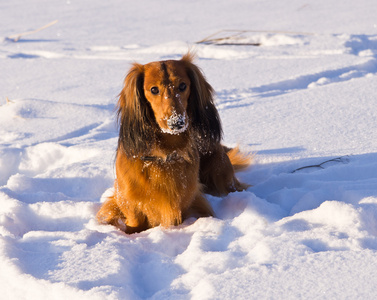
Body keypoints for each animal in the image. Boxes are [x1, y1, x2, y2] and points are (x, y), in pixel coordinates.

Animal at [96, 52, 250, 233]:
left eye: (183, 86)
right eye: (154, 89)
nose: (177, 122)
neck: (165, 154)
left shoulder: (193, 203)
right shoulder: (125, 200)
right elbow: (133, 220)